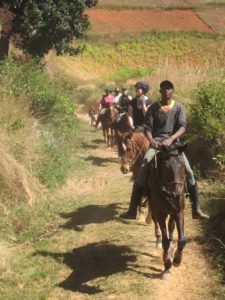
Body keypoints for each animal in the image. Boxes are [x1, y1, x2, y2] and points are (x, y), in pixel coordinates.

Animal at [149, 144, 187, 280]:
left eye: (183, 166)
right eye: (166, 167)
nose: (176, 195)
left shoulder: (178, 212)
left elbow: (182, 240)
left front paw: (177, 260)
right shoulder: (160, 214)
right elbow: (165, 241)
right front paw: (167, 265)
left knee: (171, 226)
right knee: (155, 222)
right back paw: (159, 240)